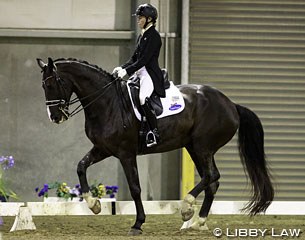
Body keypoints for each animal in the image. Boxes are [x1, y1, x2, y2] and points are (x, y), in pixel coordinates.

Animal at [36, 57, 274, 234]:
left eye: (52, 83)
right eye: (43, 86)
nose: (56, 117)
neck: (108, 103)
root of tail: (231, 104)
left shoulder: (126, 153)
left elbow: (135, 188)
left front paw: (138, 223)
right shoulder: (103, 149)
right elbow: (81, 166)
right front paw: (93, 204)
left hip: (202, 147)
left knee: (211, 176)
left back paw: (186, 208)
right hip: (194, 148)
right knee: (212, 181)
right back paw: (198, 221)